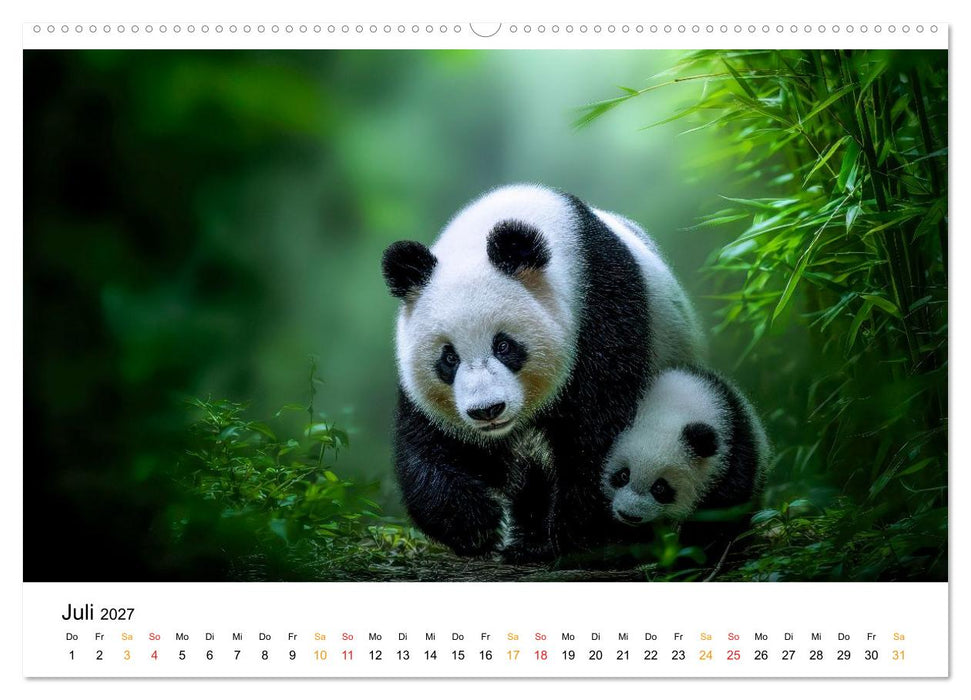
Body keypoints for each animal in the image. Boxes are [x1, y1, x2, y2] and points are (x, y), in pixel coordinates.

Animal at [381, 184, 705, 559]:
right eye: (449, 358)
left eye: (504, 346)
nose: (487, 410)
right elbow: (432, 440)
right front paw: (476, 525)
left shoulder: (602, 311)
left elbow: (599, 431)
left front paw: (584, 536)